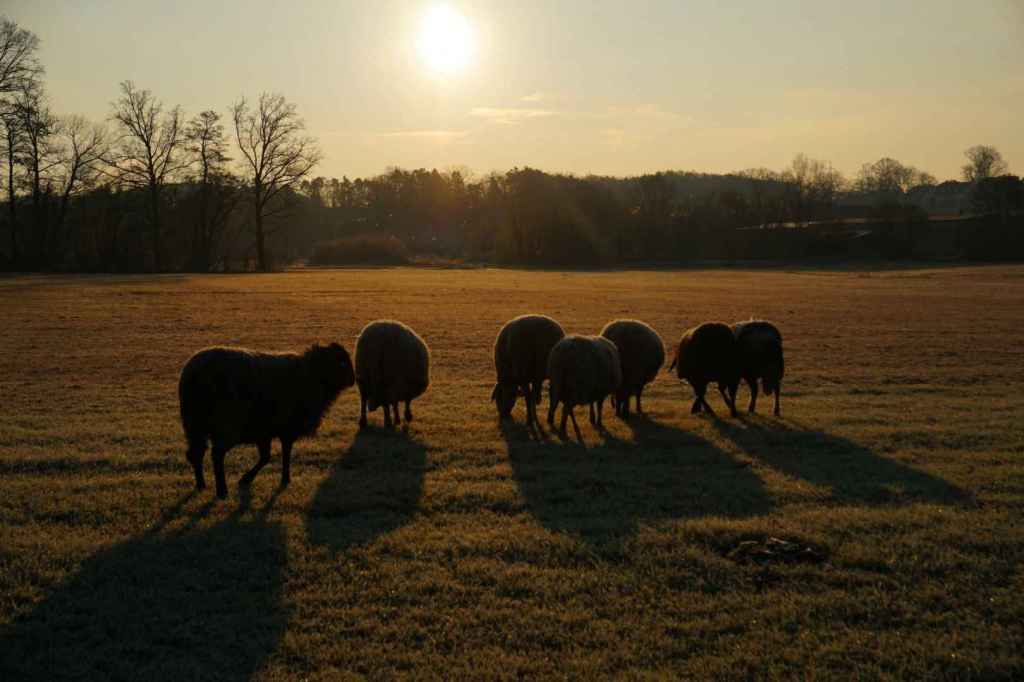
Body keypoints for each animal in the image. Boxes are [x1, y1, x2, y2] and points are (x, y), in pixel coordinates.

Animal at [178, 342, 355, 499]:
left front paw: (247, 479)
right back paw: (222, 490)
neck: (312, 375)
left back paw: (201, 485)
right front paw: (284, 479)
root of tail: (194, 374)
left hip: (193, 424)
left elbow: (266, 457)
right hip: (225, 425)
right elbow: (283, 453)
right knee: (216, 454)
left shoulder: (264, 432)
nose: (353, 380)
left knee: (196, 453)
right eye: (341, 361)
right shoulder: (287, 429)